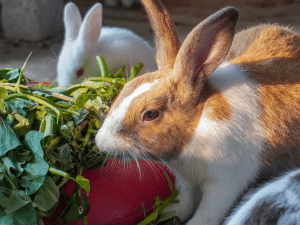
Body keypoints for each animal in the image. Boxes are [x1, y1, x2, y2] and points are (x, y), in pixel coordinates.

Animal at [95, 0, 300, 224]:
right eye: (126, 88)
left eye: (150, 114)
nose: (100, 142)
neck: (196, 126)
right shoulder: (186, 181)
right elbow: (185, 202)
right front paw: (171, 213)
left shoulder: (225, 184)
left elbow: (206, 215)